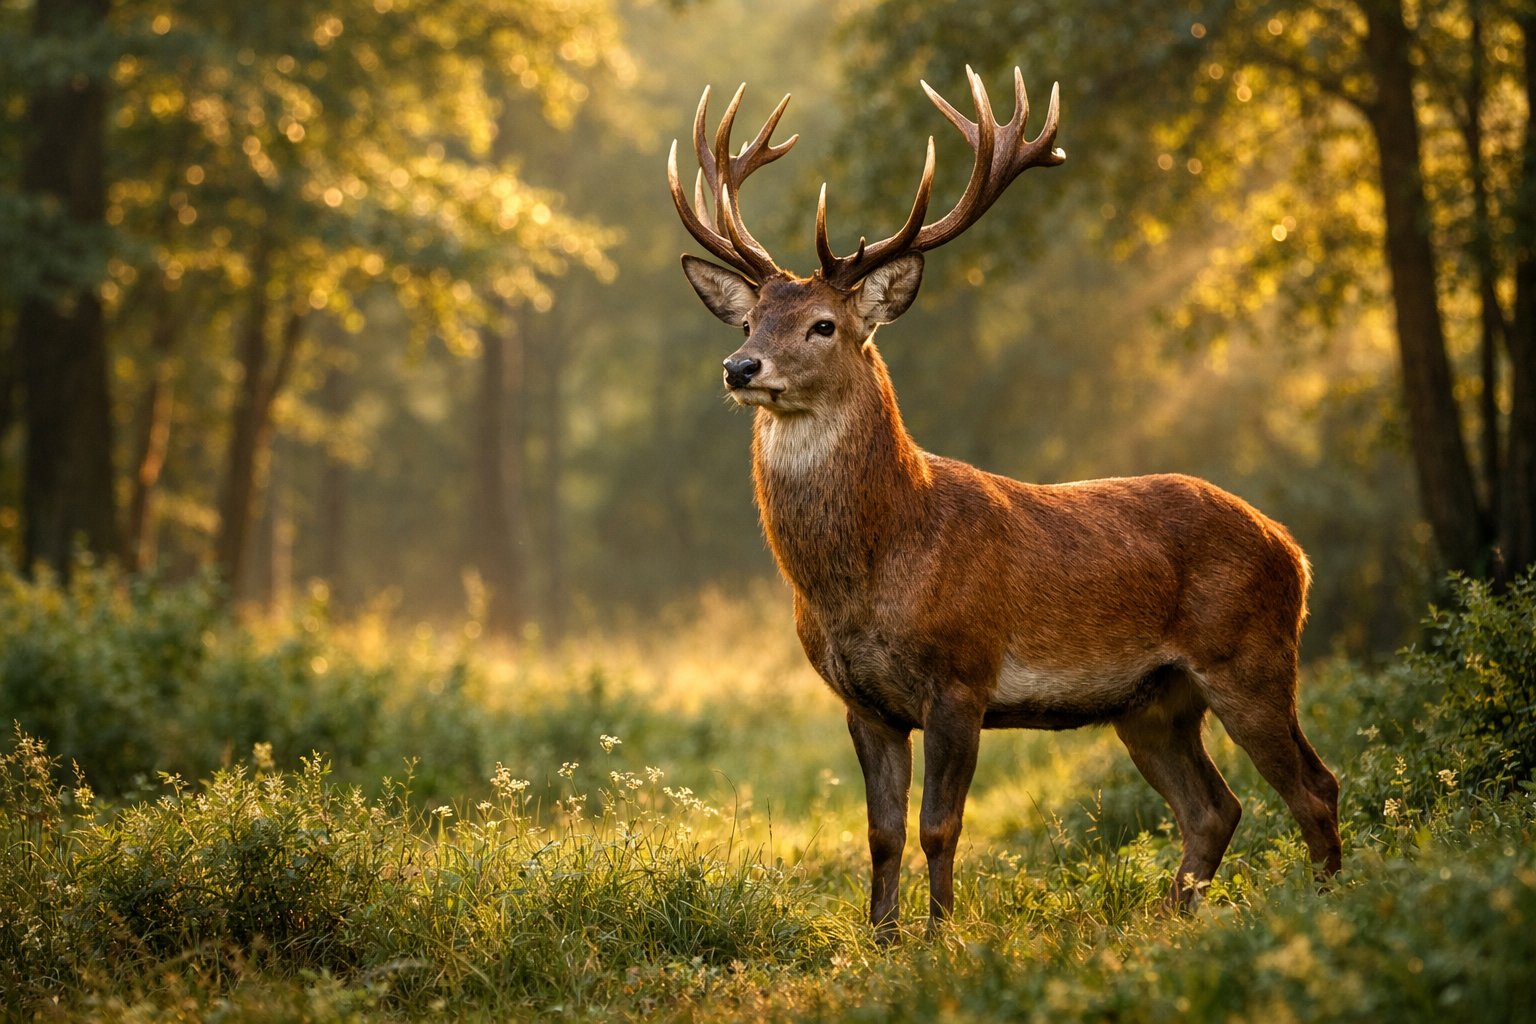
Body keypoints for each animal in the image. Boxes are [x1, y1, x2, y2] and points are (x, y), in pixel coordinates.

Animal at [667, 66, 1341, 937]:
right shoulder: (863, 702)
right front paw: (881, 939)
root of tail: (1293, 549)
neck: (876, 566)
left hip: (1252, 657)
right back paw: (1165, 919)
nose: (740, 366)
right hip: (1152, 702)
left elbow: (938, 826)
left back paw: (1325, 908)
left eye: (822, 325)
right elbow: (882, 833)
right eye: (750, 318)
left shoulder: (964, 674)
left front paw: (940, 938)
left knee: (1313, 788)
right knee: (1214, 808)